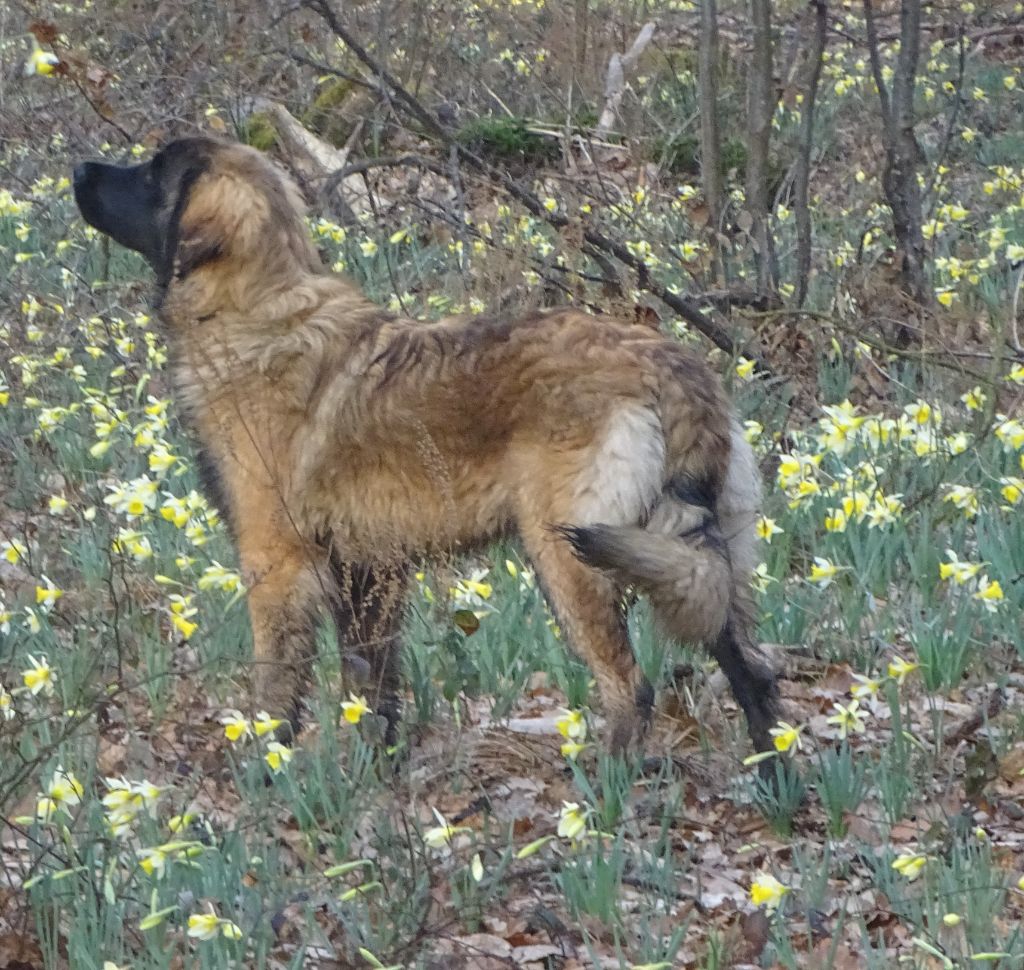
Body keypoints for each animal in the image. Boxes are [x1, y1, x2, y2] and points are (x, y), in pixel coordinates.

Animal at [72, 138, 778, 757]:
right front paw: (373, 782)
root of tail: (670, 364)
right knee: (752, 673)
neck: (252, 312)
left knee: (632, 690)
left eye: (153, 172)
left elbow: (276, 694)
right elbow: (372, 694)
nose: (79, 169)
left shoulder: (276, 564)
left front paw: (266, 781)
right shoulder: (366, 574)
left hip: (571, 558)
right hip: (699, 553)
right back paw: (774, 785)